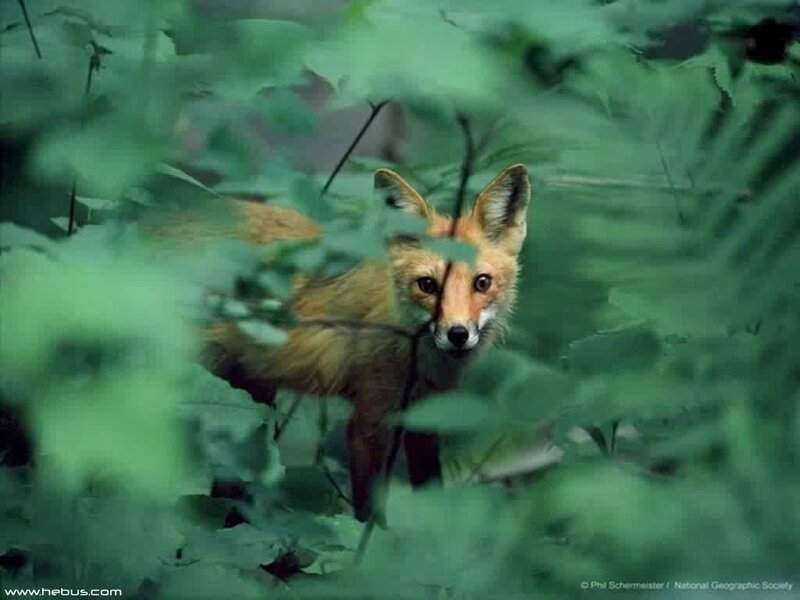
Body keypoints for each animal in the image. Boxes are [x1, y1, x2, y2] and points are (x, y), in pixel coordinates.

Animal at [178, 164, 531, 521]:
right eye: (427, 285)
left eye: (482, 283)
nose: (457, 334)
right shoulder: (369, 420)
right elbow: (369, 512)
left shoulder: (428, 418)